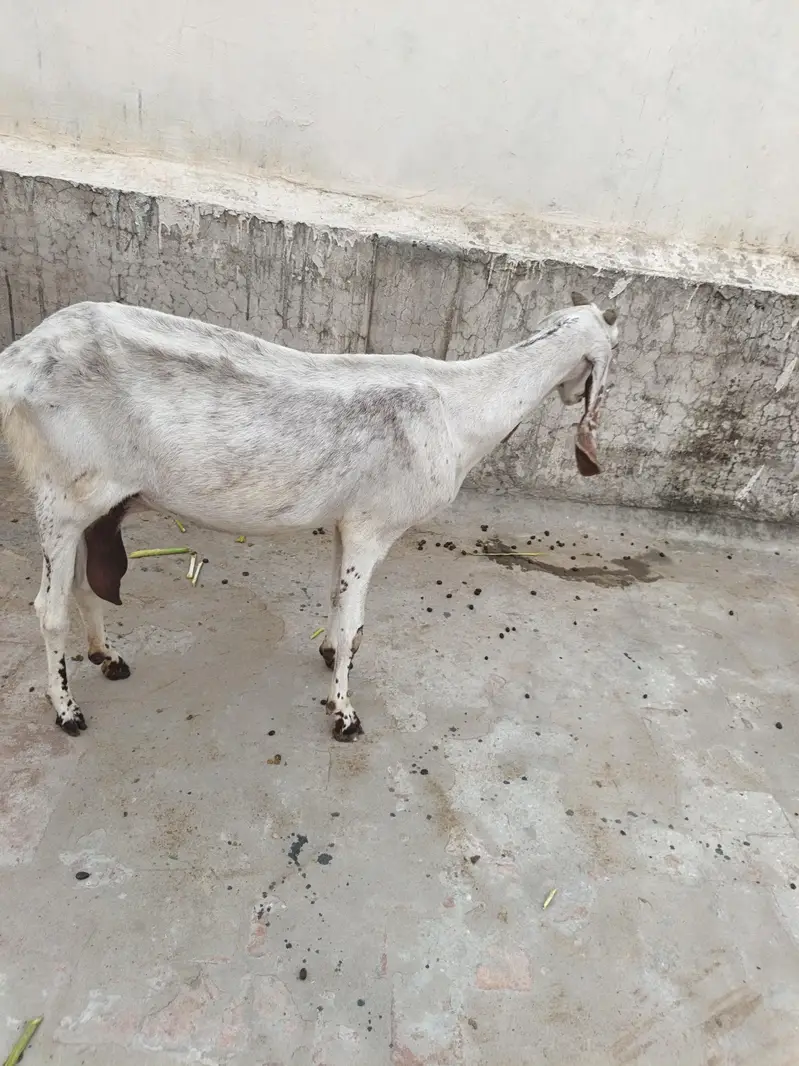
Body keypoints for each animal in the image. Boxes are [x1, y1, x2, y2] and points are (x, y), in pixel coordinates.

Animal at [0, 292, 618, 740]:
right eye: (614, 348)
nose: (577, 401)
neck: (458, 407)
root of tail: (22, 358)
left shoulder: (348, 523)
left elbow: (341, 608)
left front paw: (328, 659)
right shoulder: (374, 526)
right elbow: (353, 622)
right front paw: (344, 714)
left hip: (97, 505)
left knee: (83, 586)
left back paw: (107, 657)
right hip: (59, 498)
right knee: (48, 609)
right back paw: (68, 711)